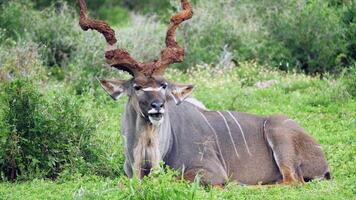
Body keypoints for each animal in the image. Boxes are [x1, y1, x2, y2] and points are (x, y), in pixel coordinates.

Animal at [78, 0, 330, 186]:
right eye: (137, 87)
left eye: (164, 85)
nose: (157, 107)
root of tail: (323, 160)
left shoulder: (210, 171)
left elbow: (181, 179)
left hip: (280, 138)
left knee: (292, 181)